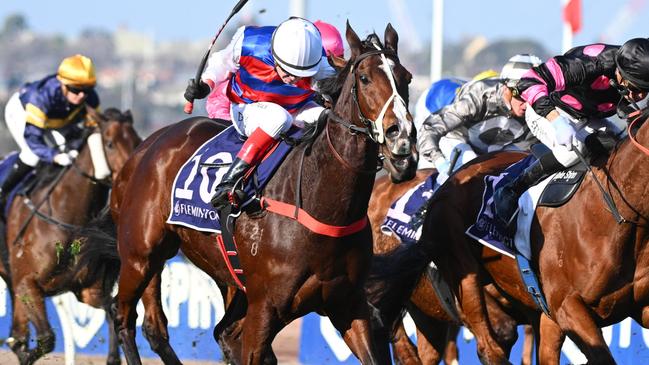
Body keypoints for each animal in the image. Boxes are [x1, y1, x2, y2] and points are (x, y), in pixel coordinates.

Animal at [0, 106, 140, 362]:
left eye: (136, 140)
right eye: (110, 143)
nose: (133, 174)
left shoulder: (89, 290)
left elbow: (111, 315)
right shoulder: (27, 284)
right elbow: (45, 340)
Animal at [111, 22, 416, 364]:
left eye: (406, 77)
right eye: (364, 78)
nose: (402, 138)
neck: (320, 201)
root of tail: (148, 145)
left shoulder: (348, 305)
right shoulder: (265, 307)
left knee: (211, 331)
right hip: (140, 255)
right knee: (124, 317)